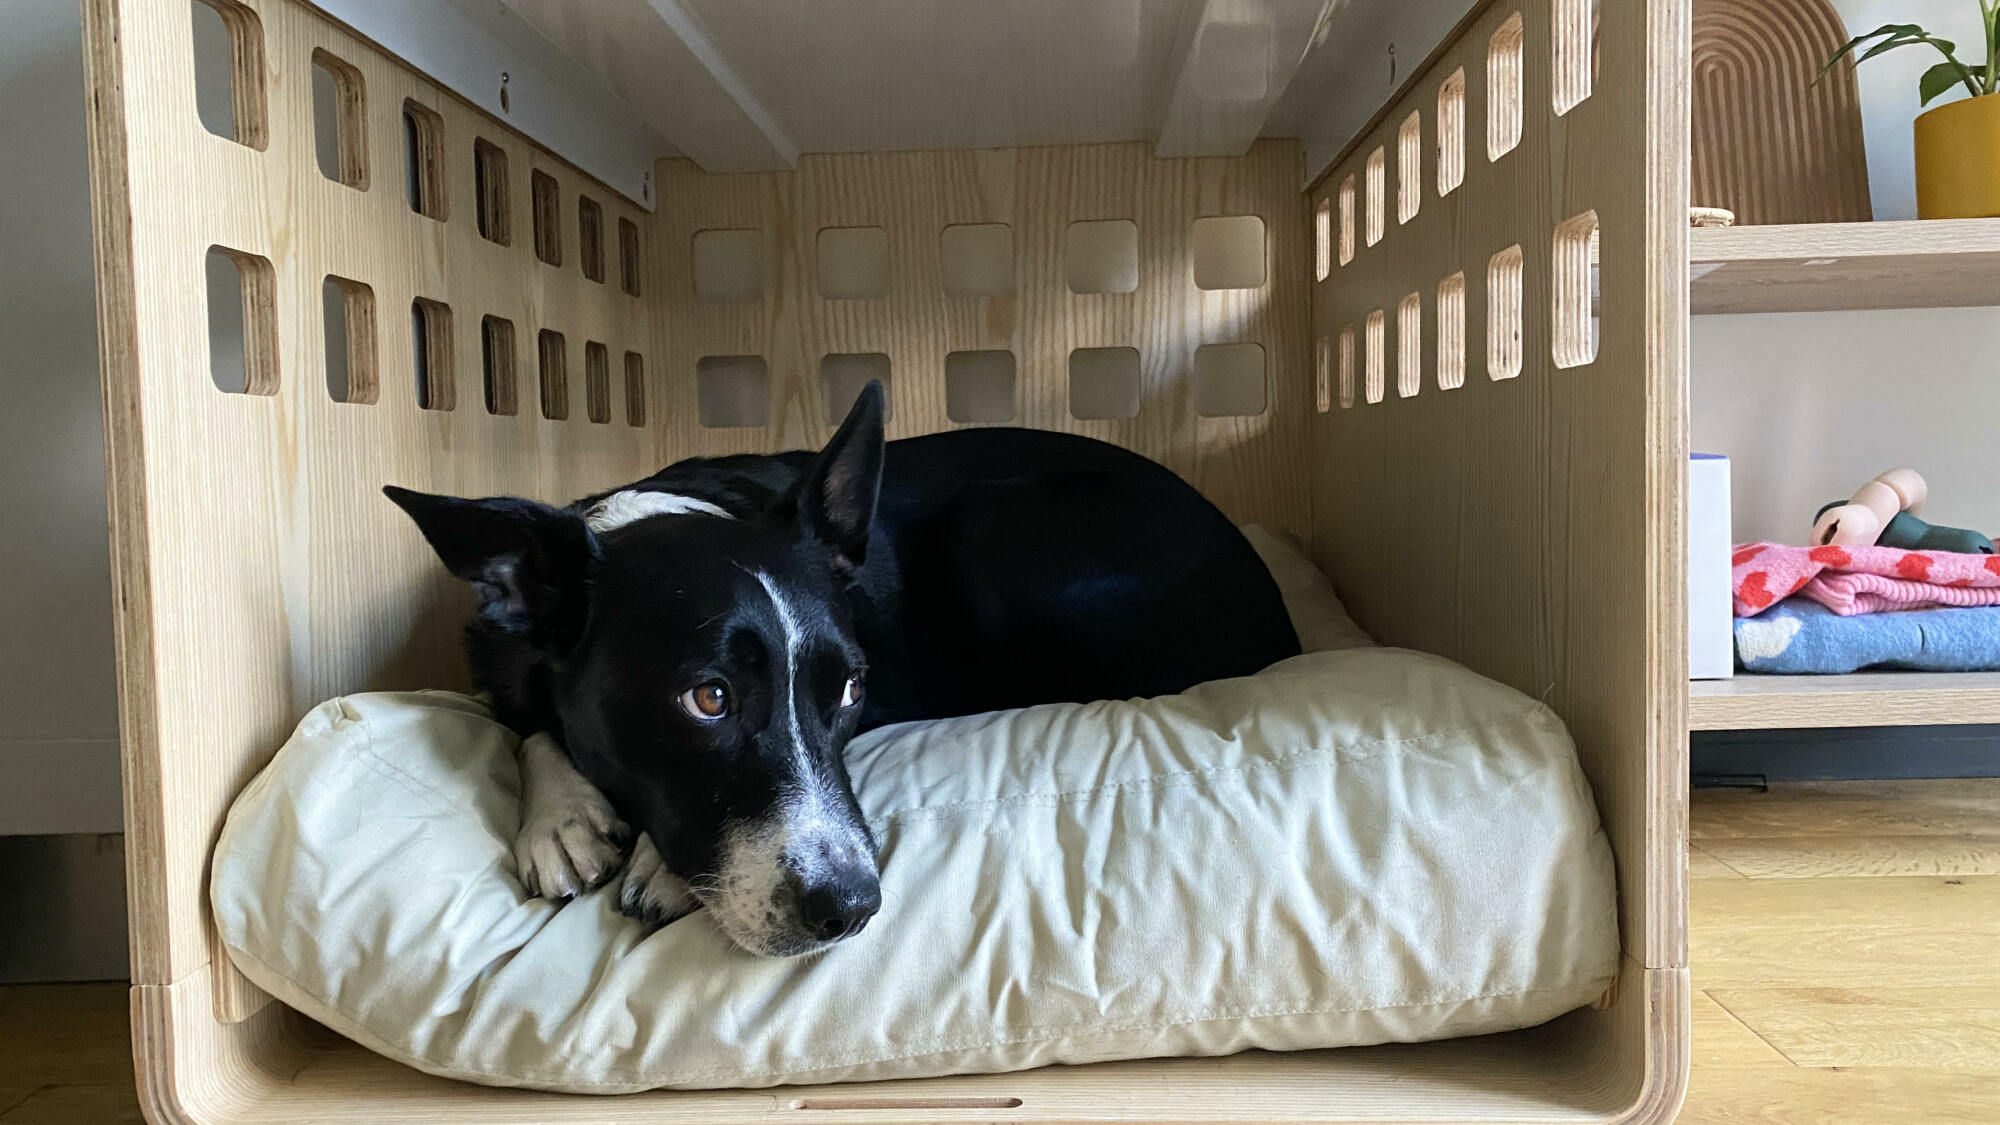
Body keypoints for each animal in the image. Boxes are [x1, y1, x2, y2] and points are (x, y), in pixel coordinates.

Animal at [388, 384, 1296, 952]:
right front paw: (561, 815)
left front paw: (657, 865)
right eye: (708, 698)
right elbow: (527, 723)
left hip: (986, 528)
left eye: (851, 689)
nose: (852, 907)